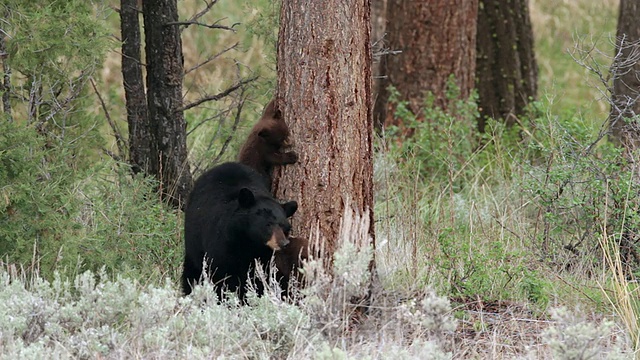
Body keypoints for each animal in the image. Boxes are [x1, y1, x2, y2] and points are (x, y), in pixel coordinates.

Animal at [181, 162, 298, 300]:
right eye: (268, 224)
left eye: (284, 226)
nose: (283, 243)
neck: (248, 241)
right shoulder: (222, 243)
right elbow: (221, 274)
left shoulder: (263, 256)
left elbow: (259, 277)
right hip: (193, 240)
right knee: (192, 271)